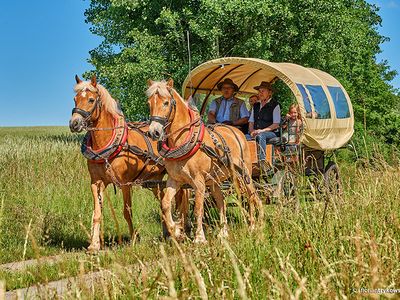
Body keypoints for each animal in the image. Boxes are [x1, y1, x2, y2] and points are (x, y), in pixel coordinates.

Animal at [70, 75, 189, 253]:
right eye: (75, 99)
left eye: (91, 100)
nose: (74, 123)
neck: (107, 145)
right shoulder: (96, 182)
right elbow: (97, 213)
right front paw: (94, 245)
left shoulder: (125, 183)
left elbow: (127, 211)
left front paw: (133, 239)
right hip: (155, 180)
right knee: (163, 200)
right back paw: (168, 232)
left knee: (181, 199)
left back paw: (180, 229)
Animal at [146, 78, 262, 243]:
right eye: (149, 103)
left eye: (166, 103)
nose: (153, 132)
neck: (184, 140)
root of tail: (238, 132)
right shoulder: (175, 180)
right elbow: (166, 204)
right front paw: (176, 230)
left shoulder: (199, 182)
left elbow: (198, 209)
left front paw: (199, 238)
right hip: (214, 181)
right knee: (222, 201)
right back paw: (223, 232)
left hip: (243, 175)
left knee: (251, 196)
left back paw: (254, 225)